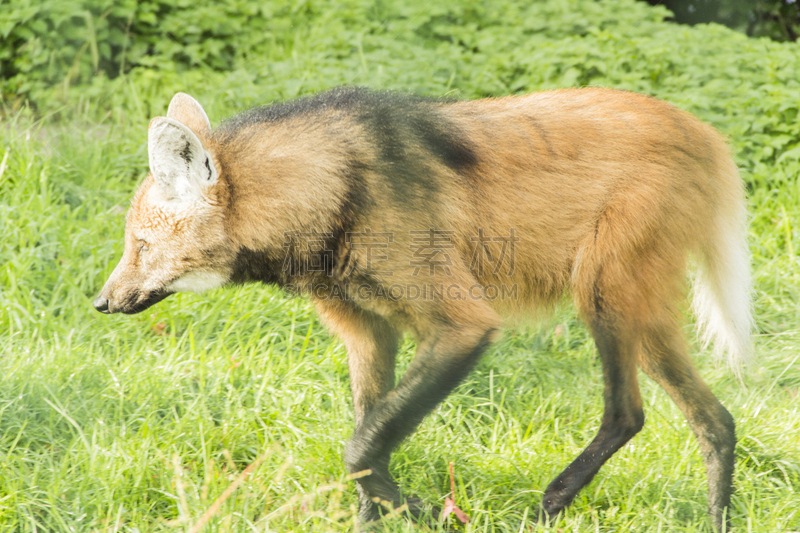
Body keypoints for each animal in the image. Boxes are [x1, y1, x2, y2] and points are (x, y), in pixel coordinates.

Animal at [94, 87, 752, 528]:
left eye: (140, 245)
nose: (101, 301)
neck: (332, 198)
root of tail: (703, 132)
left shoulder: (462, 327)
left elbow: (361, 447)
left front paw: (424, 509)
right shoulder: (369, 334)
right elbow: (367, 444)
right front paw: (382, 516)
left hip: (603, 295)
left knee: (626, 413)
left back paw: (551, 502)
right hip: (641, 314)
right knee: (715, 419)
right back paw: (715, 519)